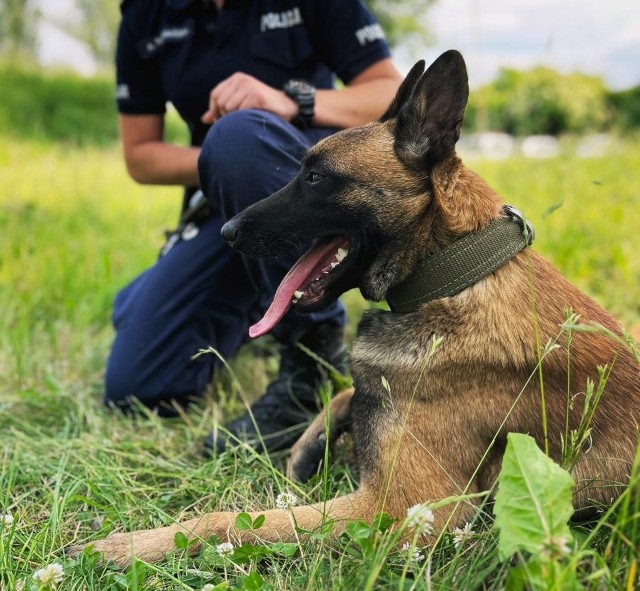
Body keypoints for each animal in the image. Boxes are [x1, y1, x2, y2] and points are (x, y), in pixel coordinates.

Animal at [82, 52, 636, 568]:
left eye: (315, 177)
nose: (226, 231)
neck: (453, 275)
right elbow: (345, 393)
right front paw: (305, 450)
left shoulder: (401, 509)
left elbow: (230, 520)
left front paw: (135, 544)